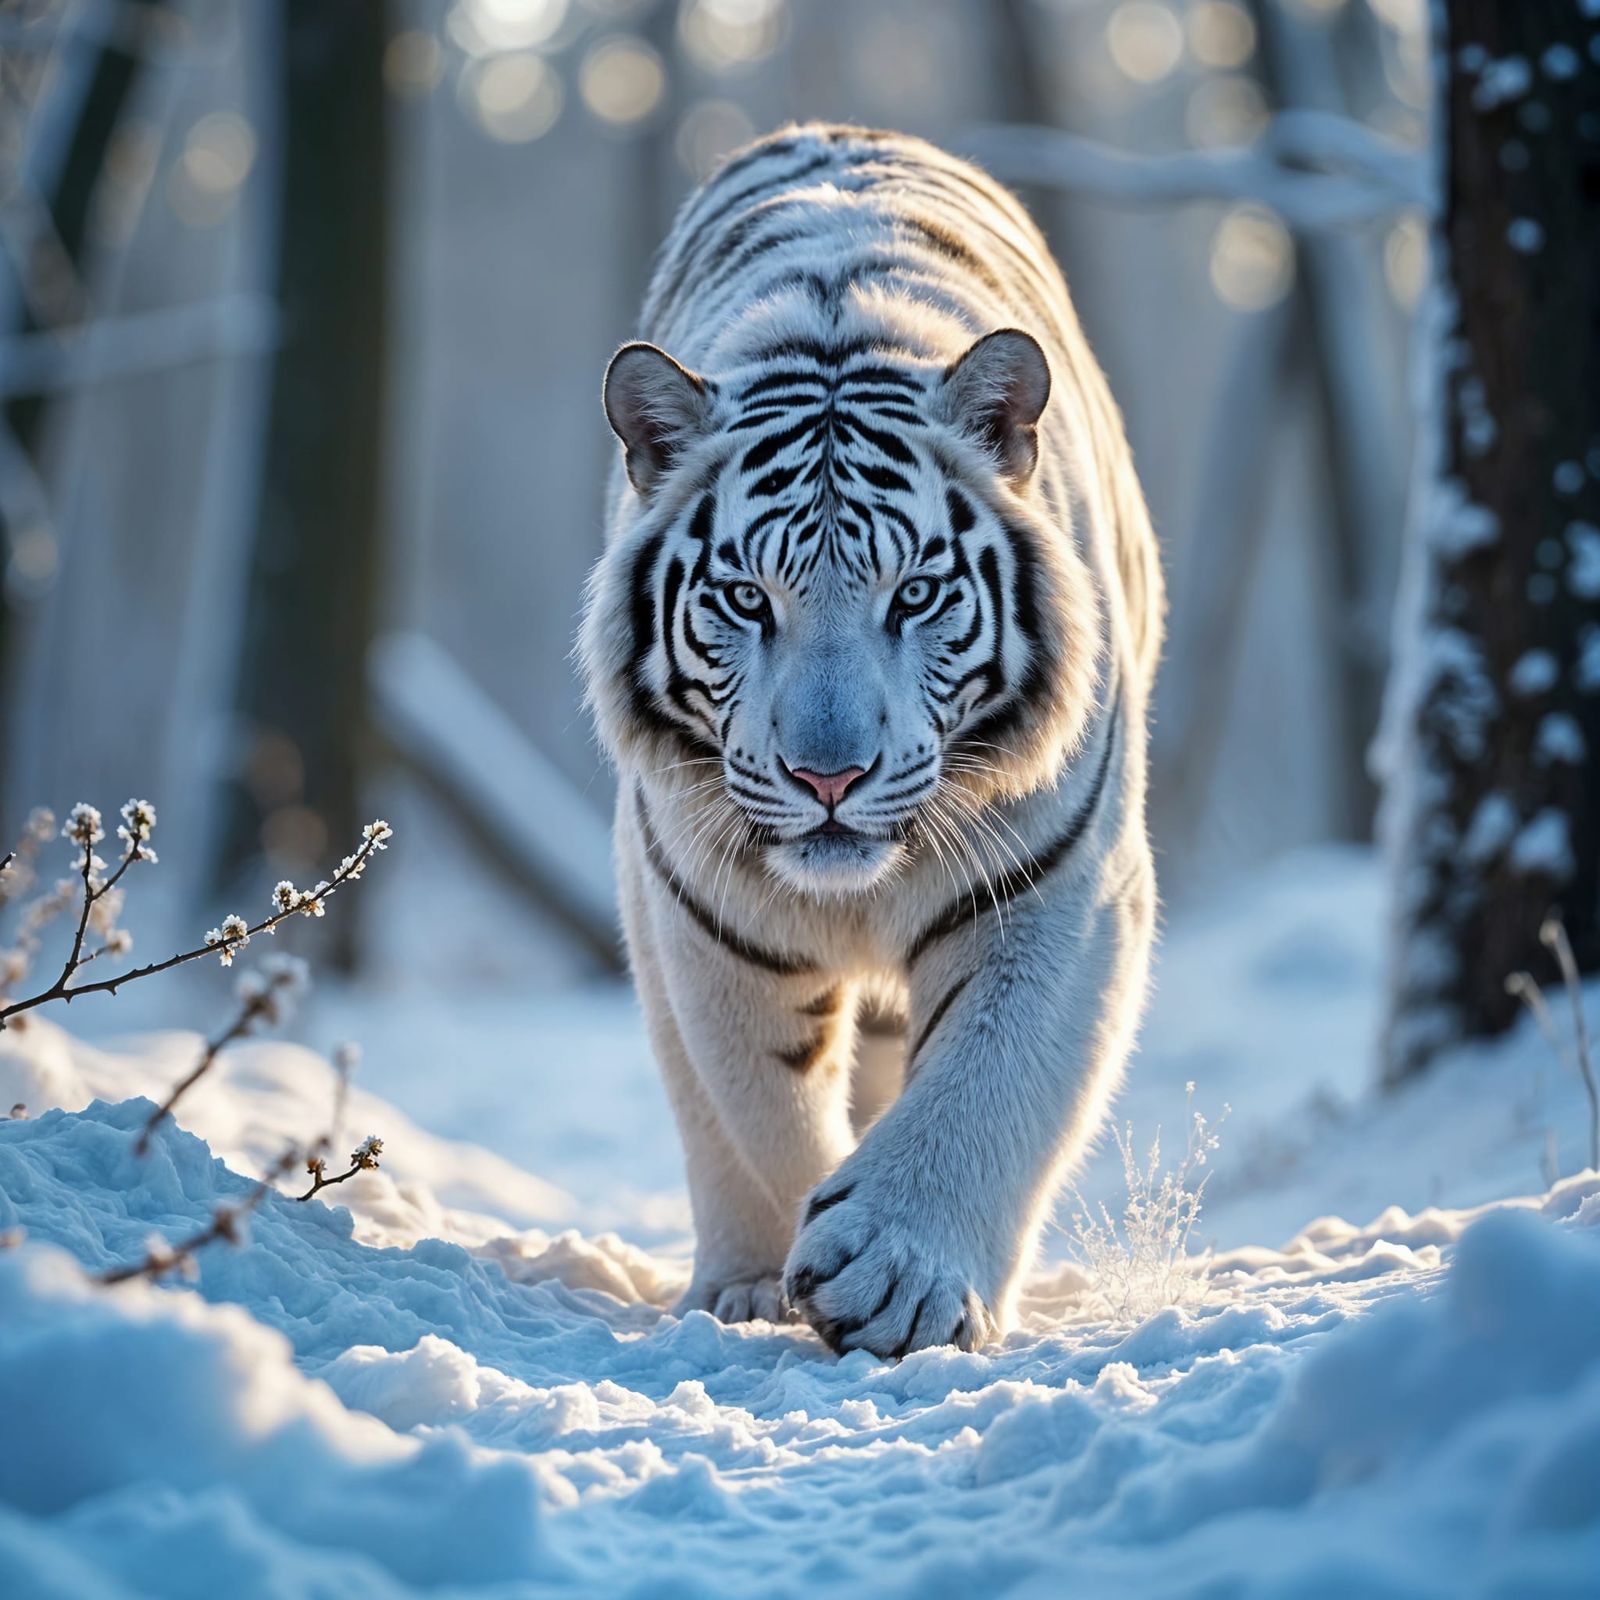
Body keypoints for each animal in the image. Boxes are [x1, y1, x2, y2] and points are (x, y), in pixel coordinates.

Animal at [579, 123, 1161, 1357]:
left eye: (916, 594)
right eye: (746, 599)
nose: (828, 776)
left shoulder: (1061, 881)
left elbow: (991, 1079)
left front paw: (897, 1271)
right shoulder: (696, 906)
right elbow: (752, 1103)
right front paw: (766, 1281)